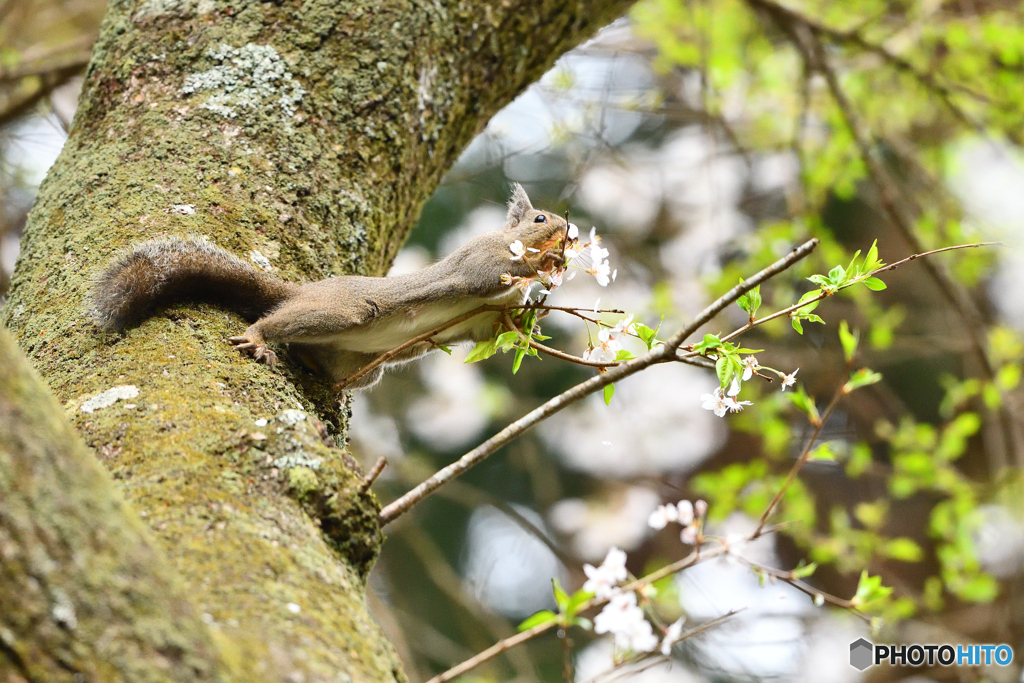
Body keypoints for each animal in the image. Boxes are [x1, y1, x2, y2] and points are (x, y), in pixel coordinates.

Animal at [90, 184, 569, 389]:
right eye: (540, 218)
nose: (568, 231)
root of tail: (302, 291)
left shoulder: (489, 320)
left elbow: (498, 330)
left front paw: (538, 313)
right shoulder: (478, 261)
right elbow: (485, 277)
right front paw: (543, 264)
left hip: (364, 366)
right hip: (341, 310)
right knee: (276, 322)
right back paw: (258, 337)